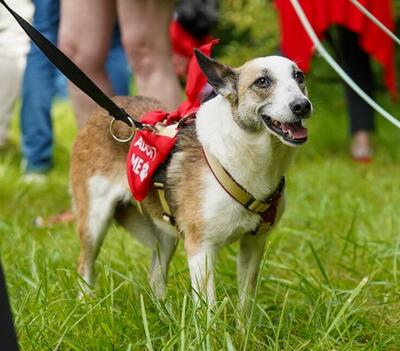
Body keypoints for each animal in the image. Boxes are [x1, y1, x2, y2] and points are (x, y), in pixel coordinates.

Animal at [70, 51, 310, 310]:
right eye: (262, 82)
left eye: (299, 76)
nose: (302, 106)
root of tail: (102, 112)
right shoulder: (200, 249)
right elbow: (209, 309)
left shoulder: (253, 245)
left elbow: (246, 303)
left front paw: (242, 323)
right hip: (95, 221)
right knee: (84, 265)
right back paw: (86, 304)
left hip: (165, 235)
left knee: (155, 276)